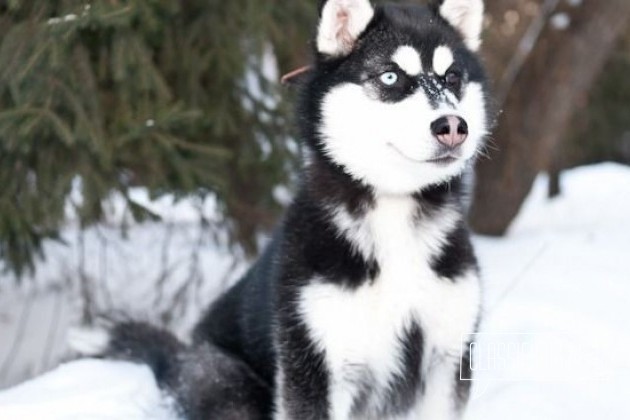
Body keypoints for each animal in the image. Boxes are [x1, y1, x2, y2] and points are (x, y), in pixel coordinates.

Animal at [71, 0, 492, 420]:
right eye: (390, 76)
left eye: (452, 77)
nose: (452, 126)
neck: (393, 213)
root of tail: (178, 357)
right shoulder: (315, 364)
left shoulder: (447, 357)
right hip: (228, 384)